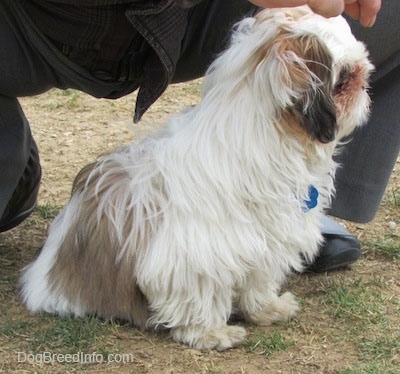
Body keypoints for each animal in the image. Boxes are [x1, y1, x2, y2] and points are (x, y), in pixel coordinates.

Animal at [21, 5, 372, 350]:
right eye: (346, 79)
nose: (366, 85)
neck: (265, 142)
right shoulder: (196, 254)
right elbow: (199, 295)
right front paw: (211, 333)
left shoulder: (268, 240)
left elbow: (259, 279)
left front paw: (267, 308)